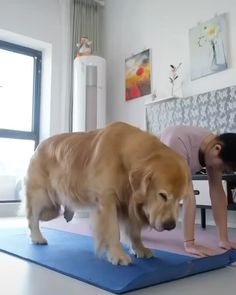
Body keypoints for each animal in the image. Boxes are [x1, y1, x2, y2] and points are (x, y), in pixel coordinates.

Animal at [25, 122, 189, 266]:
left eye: (180, 200)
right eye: (162, 195)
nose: (170, 225)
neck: (124, 157)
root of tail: (39, 145)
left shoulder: (129, 203)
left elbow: (134, 231)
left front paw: (139, 248)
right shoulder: (107, 199)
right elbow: (112, 230)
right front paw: (118, 254)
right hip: (41, 195)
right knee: (33, 219)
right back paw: (37, 237)